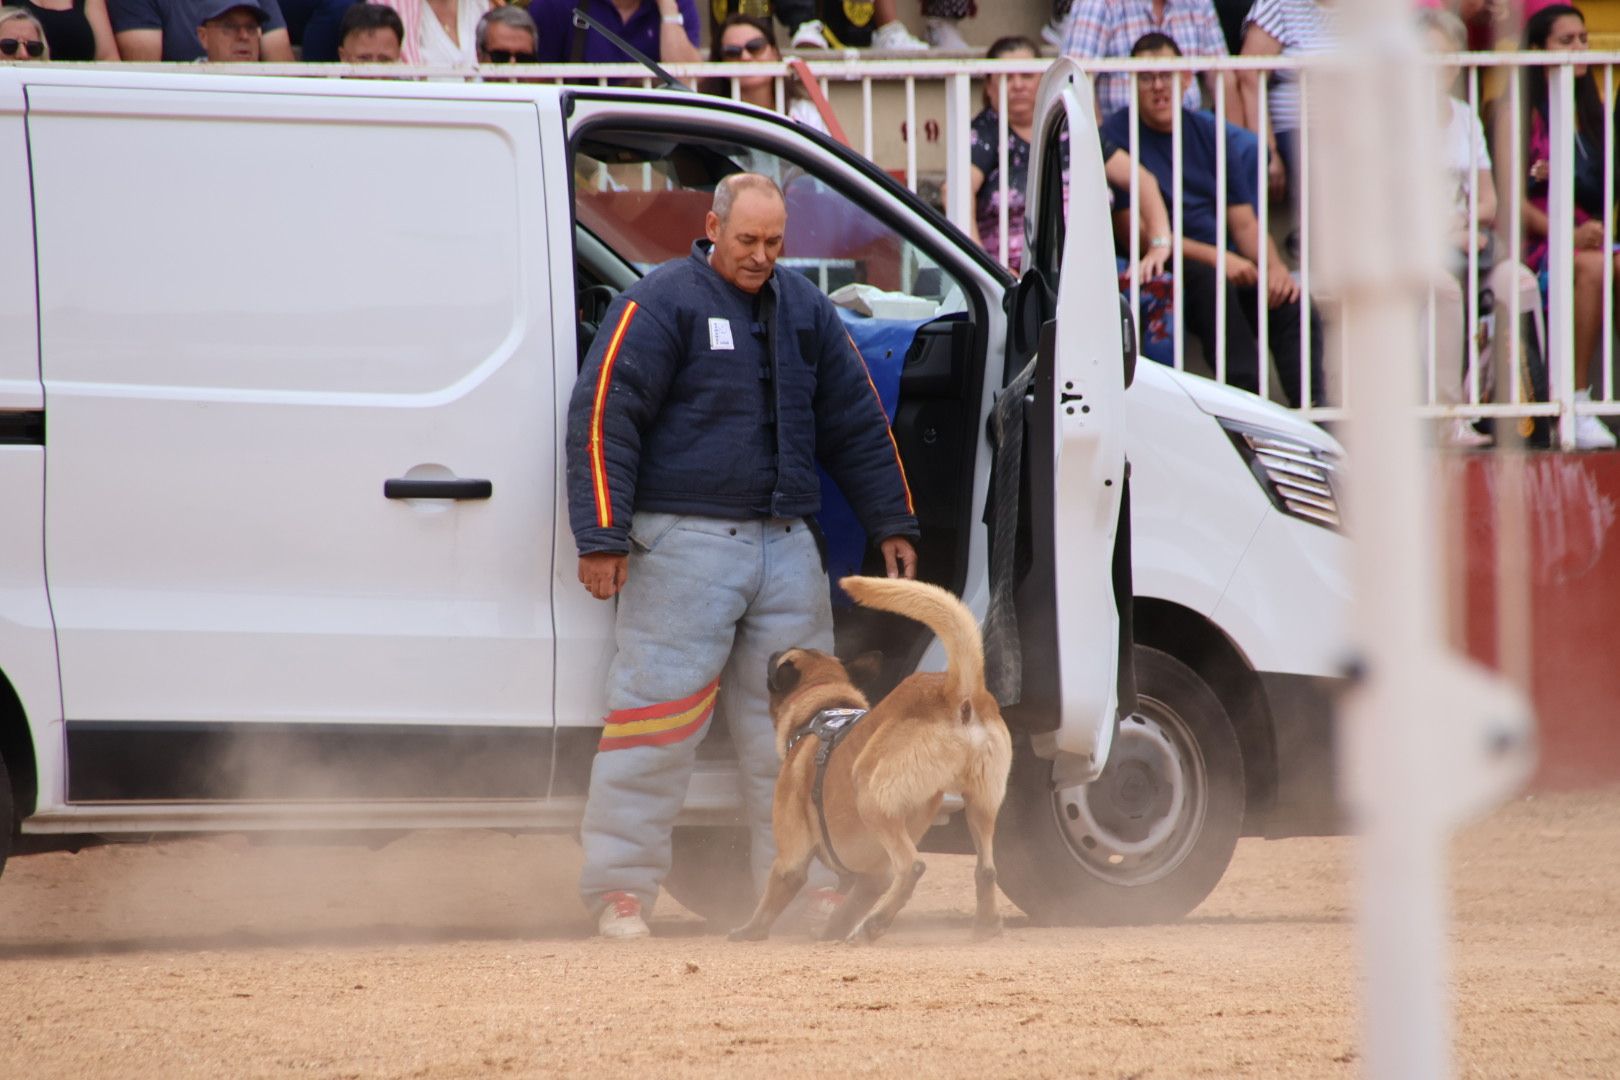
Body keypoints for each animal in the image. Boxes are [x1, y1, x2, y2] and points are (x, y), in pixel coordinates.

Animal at [729, 579, 1004, 939]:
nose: (773, 652)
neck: (825, 707)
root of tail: (955, 692)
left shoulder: (792, 856)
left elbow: (771, 899)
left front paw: (748, 931)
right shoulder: (872, 877)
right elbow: (846, 909)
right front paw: (831, 933)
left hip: (871, 795)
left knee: (913, 866)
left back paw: (874, 925)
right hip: (981, 807)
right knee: (985, 870)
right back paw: (986, 925)